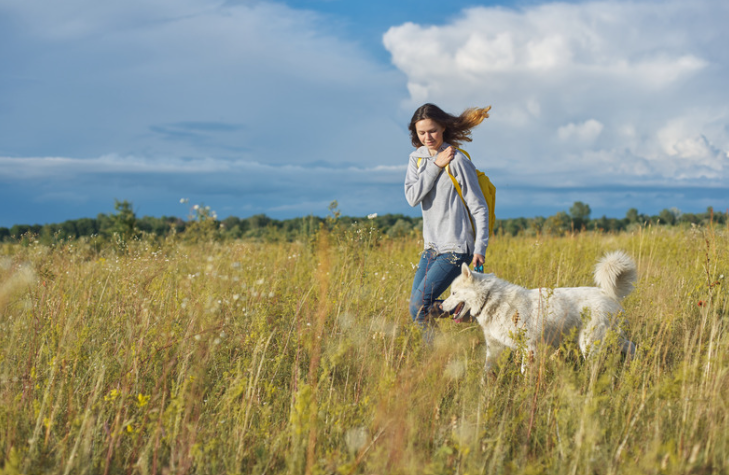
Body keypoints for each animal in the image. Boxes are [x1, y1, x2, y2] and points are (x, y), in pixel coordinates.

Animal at [438, 249, 636, 372]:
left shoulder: (529, 348)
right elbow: (486, 373)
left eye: (454, 293)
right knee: (632, 346)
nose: (439, 306)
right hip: (610, 339)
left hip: (589, 344)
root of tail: (607, 293)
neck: (489, 299)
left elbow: (525, 372)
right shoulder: (495, 348)